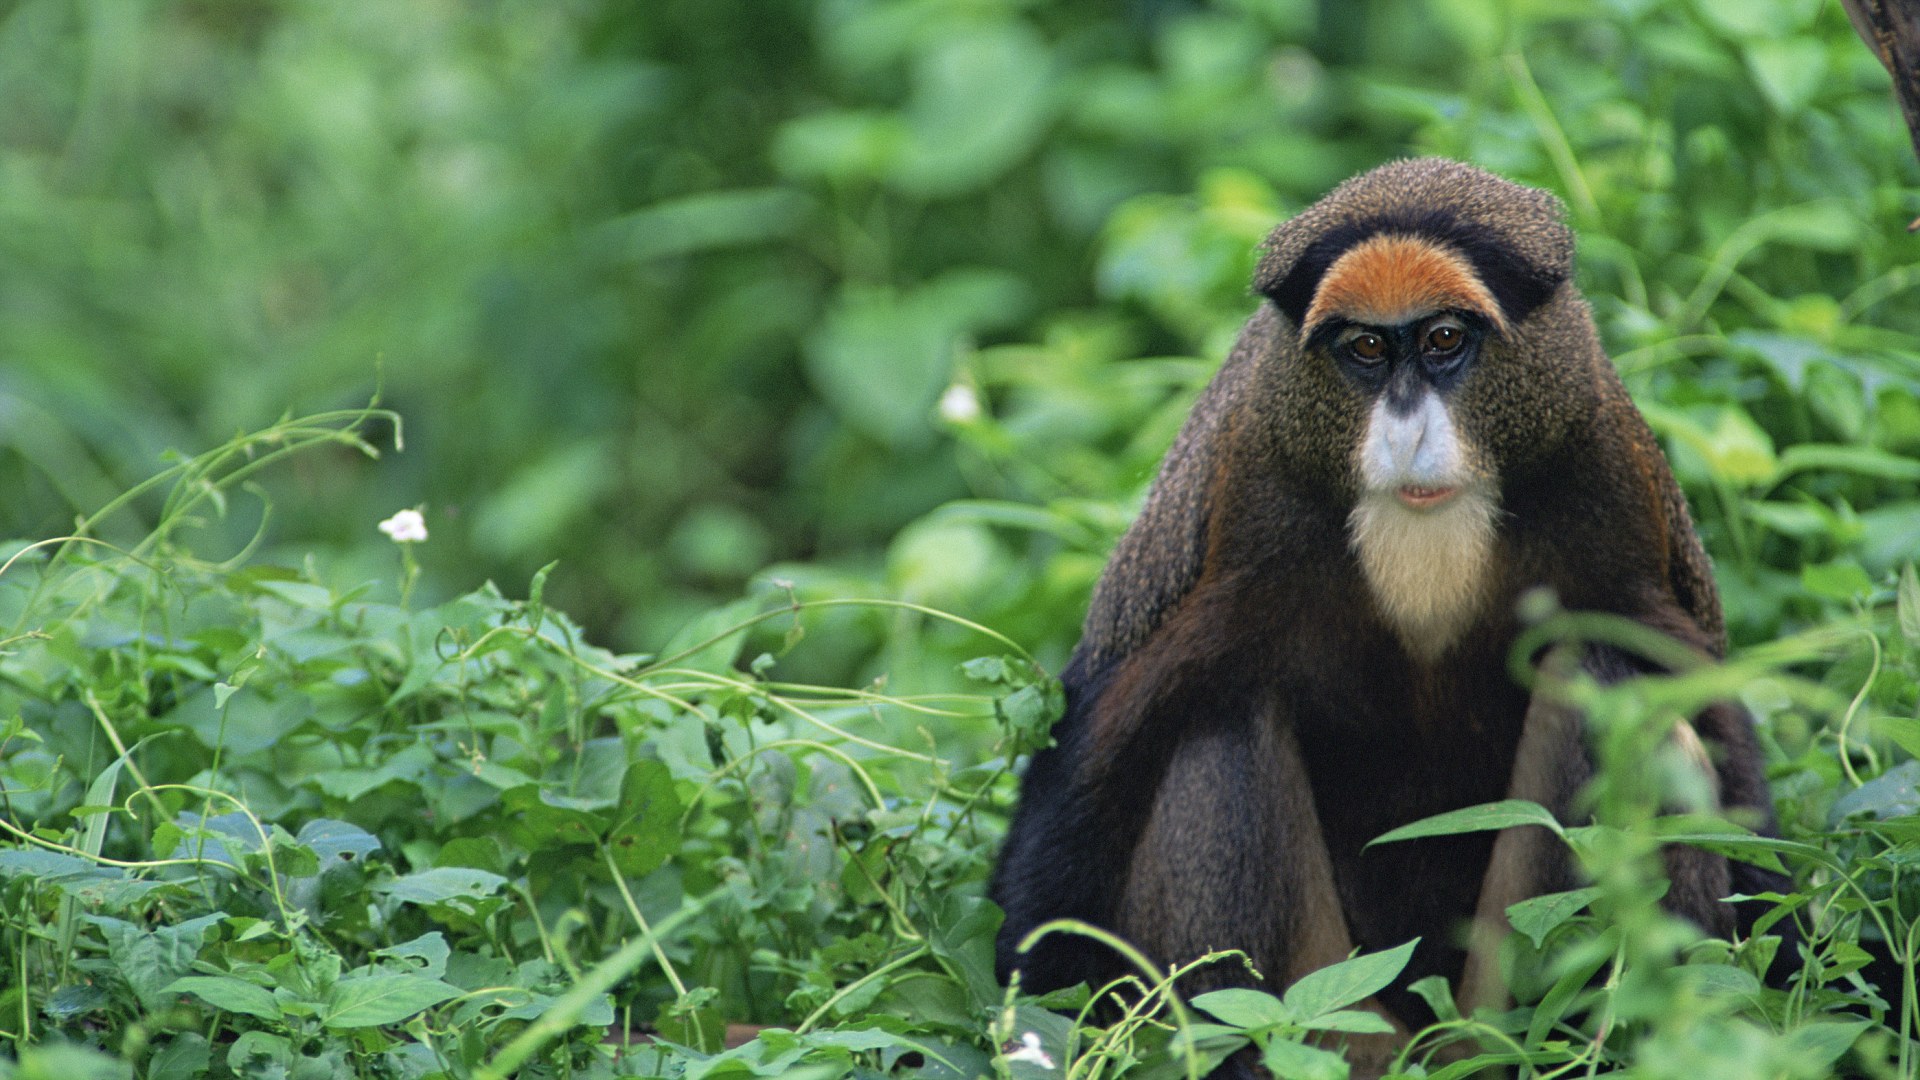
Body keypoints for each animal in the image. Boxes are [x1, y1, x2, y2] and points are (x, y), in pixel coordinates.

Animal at [998, 159, 1774, 1045]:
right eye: (1366, 347)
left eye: (1443, 341)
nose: (1405, 429)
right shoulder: (1249, 503)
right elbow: (1086, 771)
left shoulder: (1609, 490)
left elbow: (1728, 752)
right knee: (1219, 718)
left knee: (1604, 671)